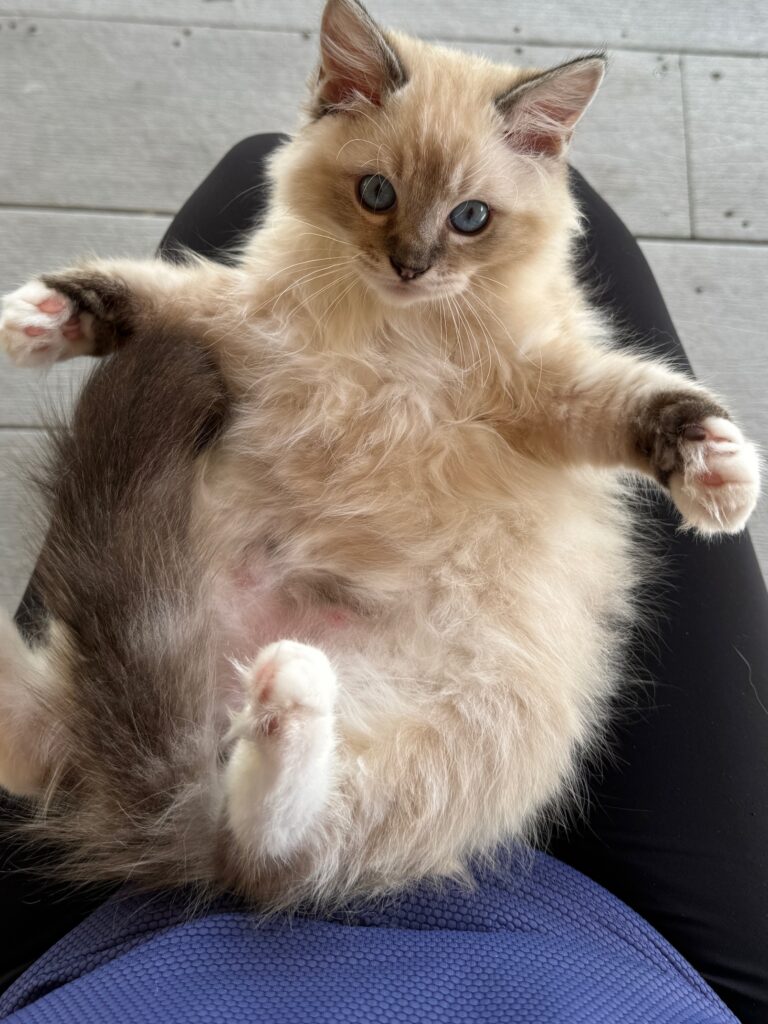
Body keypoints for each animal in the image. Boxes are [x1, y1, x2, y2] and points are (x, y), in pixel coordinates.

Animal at [0, 0, 761, 913]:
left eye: (470, 218)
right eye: (376, 194)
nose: (410, 264)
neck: (393, 339)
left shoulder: (545, 392)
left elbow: (639, 401)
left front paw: (720, 475)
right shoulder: (243, 330)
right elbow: (155, 296)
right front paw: (39, 318)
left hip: (420, 732)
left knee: (265, 846)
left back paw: (286, 698)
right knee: (162, 805)